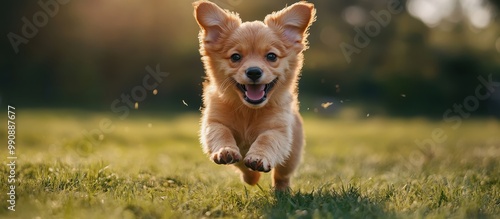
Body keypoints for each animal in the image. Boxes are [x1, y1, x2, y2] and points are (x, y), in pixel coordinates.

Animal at [192, 0, 314, 190]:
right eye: (235, 57)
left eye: (271, 56)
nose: (254, 71)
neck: (248, 110)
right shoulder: (214, 122)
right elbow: (221, 133)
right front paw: (225, 150)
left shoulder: (277, 130)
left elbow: (266, 139)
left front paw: (258, 157)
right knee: (243, 167)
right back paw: (251, 177)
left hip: (292, 155)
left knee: (282, 174)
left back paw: (282, 190)